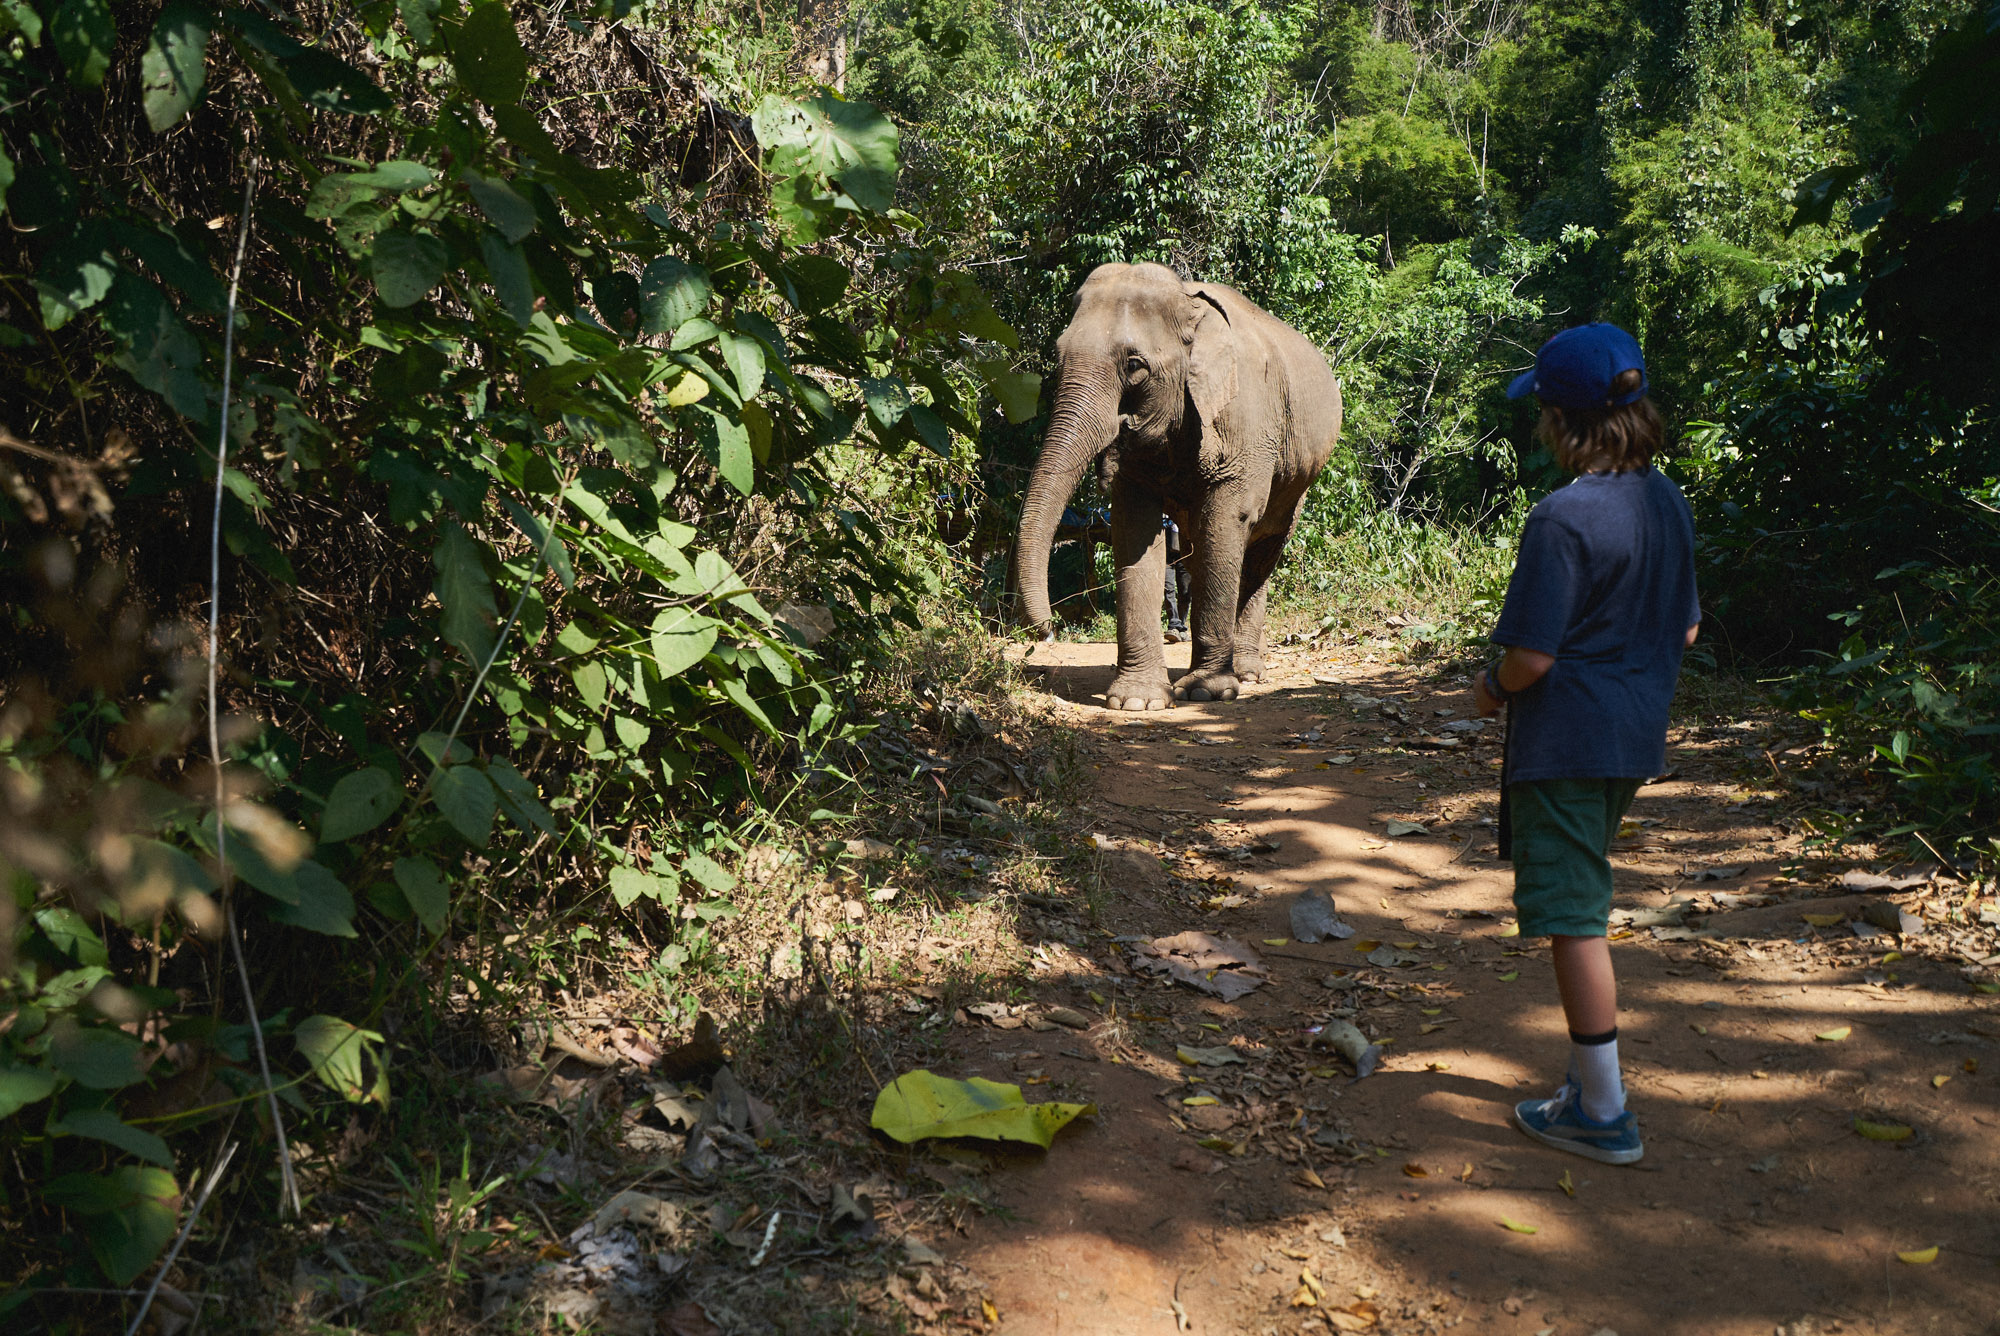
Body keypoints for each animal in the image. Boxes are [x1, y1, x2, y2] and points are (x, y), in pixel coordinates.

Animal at [1016, 264, 1344, 716]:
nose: (1048, 631)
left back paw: (1245, 673)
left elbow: (1227, 521)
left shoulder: (1245, 422)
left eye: (1135, 364)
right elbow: (1135, 528)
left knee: (1263, 549)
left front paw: (1206, 693)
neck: (1190, 306)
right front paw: (1138, 701)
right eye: (1058, 355)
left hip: (1295, 478)